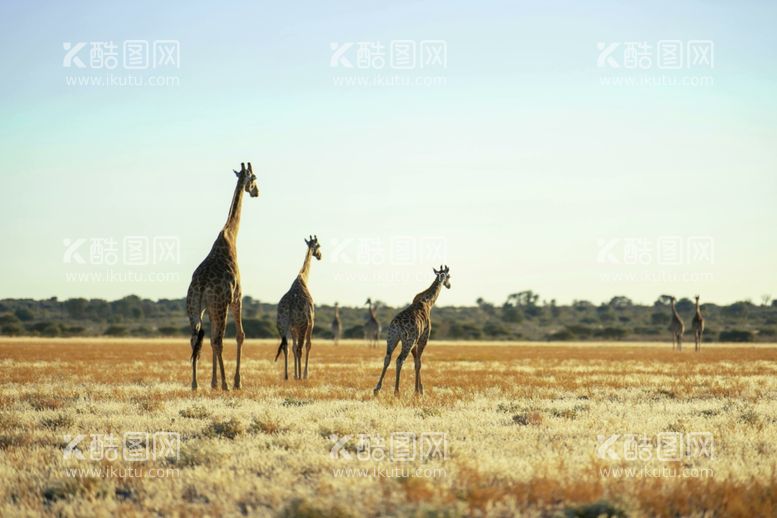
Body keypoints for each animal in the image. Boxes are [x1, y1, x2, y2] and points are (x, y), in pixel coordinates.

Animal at [186, 162, 260, 390]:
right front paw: (236, 382)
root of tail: (201, 286)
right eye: (254, 178)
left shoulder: (210, 308)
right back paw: (227, 384)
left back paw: (195, 384)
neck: (230, 236)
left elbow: (209, 340)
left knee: (196, 338)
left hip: (195, 307)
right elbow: (240, 335)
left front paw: (213, 382)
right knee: (218, 340)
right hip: (220, 306)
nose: (257, 192)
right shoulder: (237, 297)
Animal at [274, 238, 320, 380]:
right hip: (302, 325)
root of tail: (290, 306)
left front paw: (295, 374)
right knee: (300, 348)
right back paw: (300, 377)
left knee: (286, 347)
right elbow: (308, 345)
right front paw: (304, 374)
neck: (302, 278)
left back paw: (286, 376)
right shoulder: (311, 322)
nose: (320, 256)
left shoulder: (292, 327)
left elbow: (293, 348)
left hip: (281, 325)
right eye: (319, 246)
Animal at [372, 266, 452, 400]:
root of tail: (397, 325)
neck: (428, 302)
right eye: (449, 276)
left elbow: (416, 362)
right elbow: (419, 363)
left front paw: (419, 390)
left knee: (387, 358)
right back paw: (396, 392)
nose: (449, 285)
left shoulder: (415, 341)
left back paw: (377, 389)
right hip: (407, 341)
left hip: (392, 338)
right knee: (399, 360)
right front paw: (418, 392)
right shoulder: (423, 339)